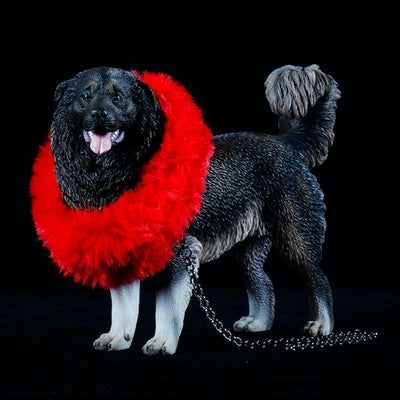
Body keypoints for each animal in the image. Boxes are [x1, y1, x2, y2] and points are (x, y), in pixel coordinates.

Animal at [29, 64, 340, 354]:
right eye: (85, 96)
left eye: (118, 98)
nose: (99, 115)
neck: (122, 173)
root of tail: (287, 144)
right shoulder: (123, 252)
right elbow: (123, 306)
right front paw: (118, 338)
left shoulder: (180, 255)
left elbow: (167, 308)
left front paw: (161, 343)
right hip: (244, 250)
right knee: (262, 281)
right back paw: (258, 323)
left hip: (296, 239)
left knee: (319, 280)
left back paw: (321, 325)